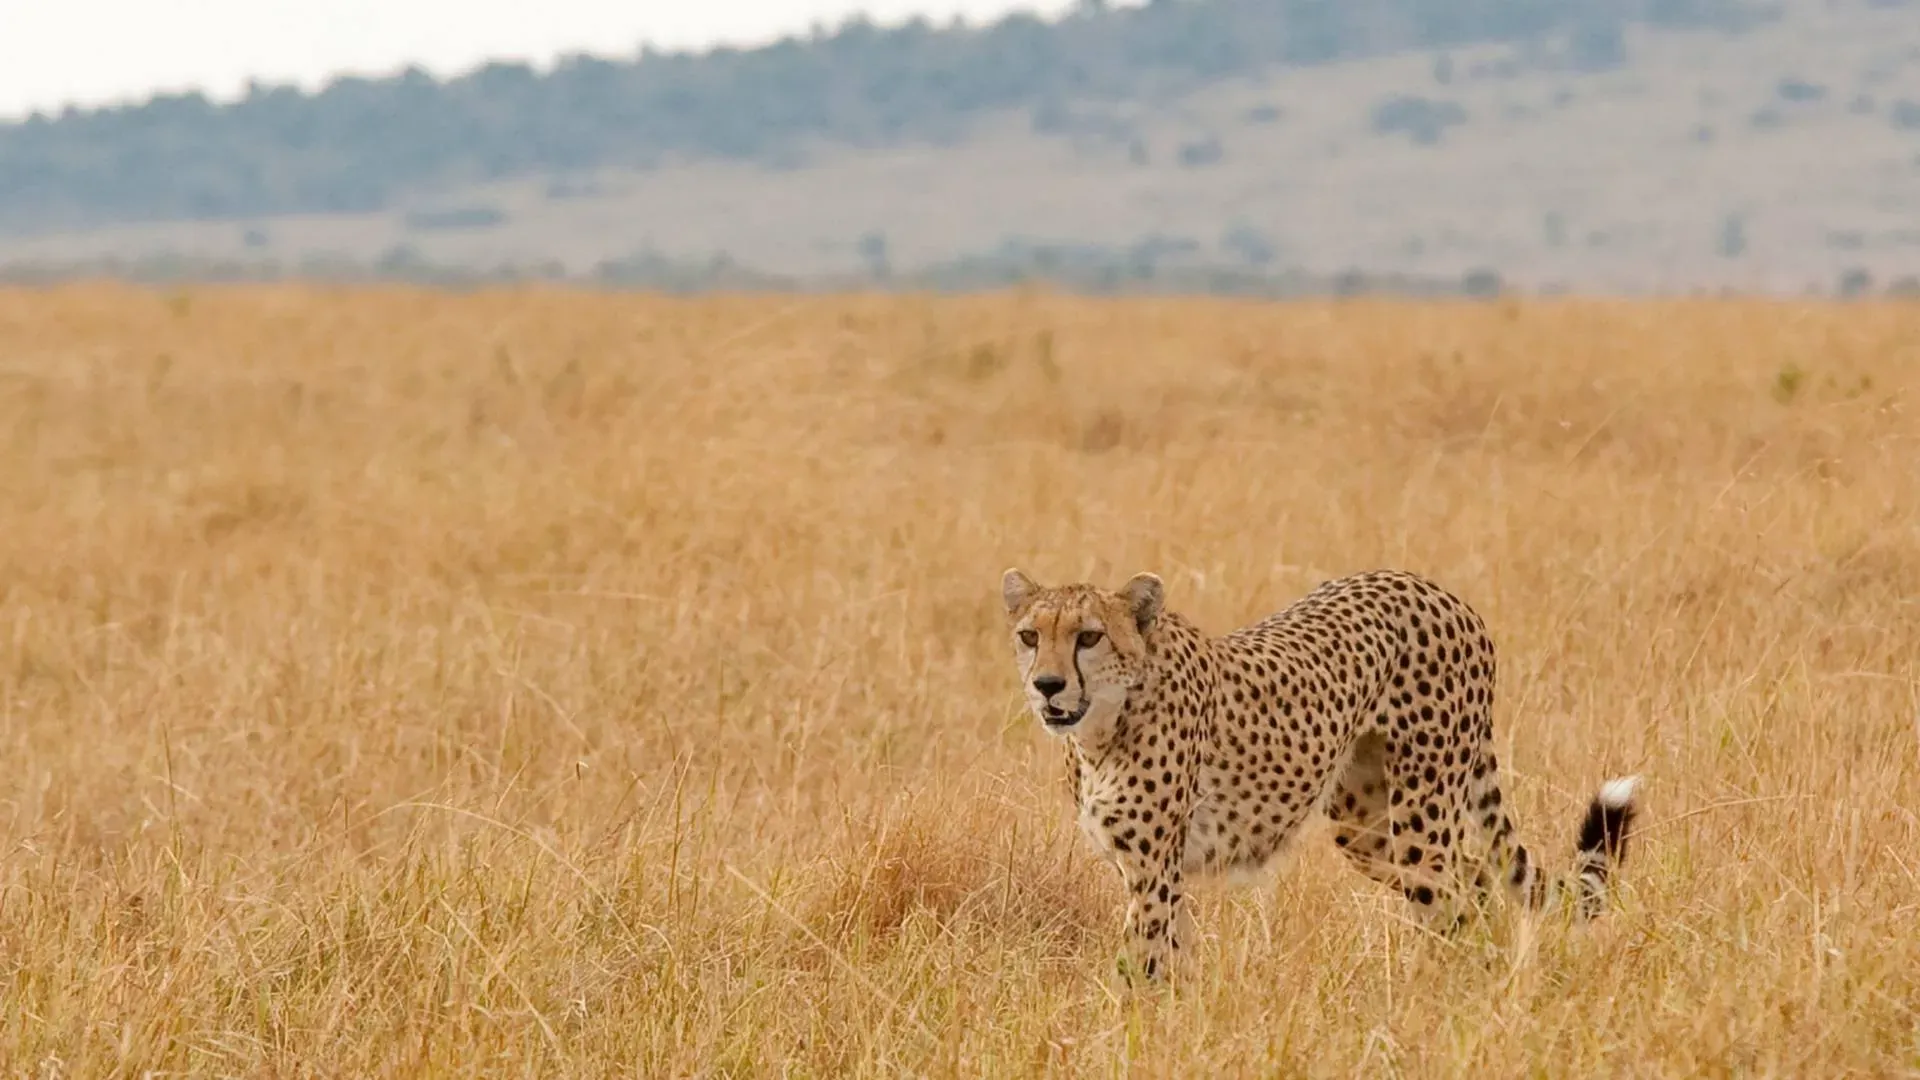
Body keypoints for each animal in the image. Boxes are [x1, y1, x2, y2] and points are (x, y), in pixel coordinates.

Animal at [999, 565, 1641, 983]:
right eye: (1029, 635)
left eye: (1089, 636)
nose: (1048, 685)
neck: (1102, 729)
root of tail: (1434, 588)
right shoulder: (1155, 870)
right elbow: (1174, 958)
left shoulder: (1153, 870)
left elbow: (1142, 964)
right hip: (1366, 826)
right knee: (1475, 883)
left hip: (1421, 815)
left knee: (1451, 901)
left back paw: (1432, 1000)